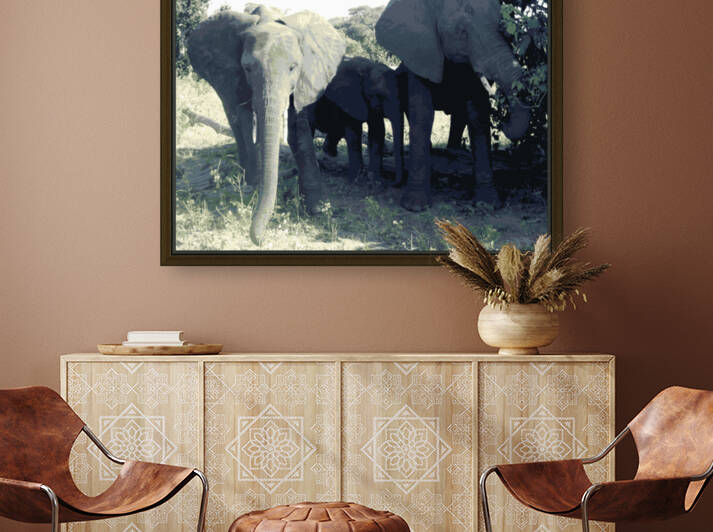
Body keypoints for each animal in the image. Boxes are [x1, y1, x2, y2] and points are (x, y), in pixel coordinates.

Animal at [188, 7, 345, 244]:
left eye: (293, 68)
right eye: (247, 68)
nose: (261, 240)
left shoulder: (307, 76)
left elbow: (298, 128)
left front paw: (318, 210)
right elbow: (243, 119)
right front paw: (252, 192)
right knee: (237, 120)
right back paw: (250, 184)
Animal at [310, 57, 406, 185]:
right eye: (379, 95)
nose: (393, 182)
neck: (368, 68)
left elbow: (377, 131)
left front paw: (375, 179)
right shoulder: (349, 98)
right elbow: (354, 133)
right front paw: (355, 179)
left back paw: (330, 154)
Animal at [375, 0, 531, 211]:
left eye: (503, 29)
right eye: (461, 32)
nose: (504, 120)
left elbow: (477, 116)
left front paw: (488, 204)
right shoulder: (422, 56)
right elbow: (423, 114)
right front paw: (415, 206)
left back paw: (456, 153)